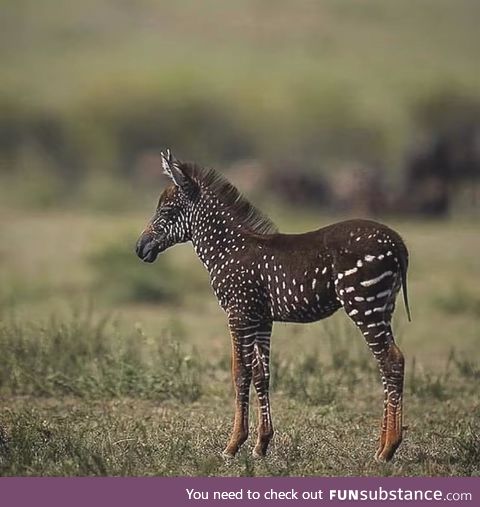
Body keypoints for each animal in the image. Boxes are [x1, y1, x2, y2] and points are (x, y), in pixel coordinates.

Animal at [137, 149, 410, 462]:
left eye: (166, 212)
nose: (140, 248)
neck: (227, 248)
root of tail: (397, 242)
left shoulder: (239, 313)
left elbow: (240, 372)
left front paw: (233, 444)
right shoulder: (261, 318)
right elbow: (261, 374)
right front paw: (261, 444)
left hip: (364, 306)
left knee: (392, 360)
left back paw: (388, 449)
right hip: (383, 308)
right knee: (388, 364)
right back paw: (381, 445)